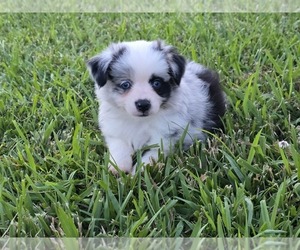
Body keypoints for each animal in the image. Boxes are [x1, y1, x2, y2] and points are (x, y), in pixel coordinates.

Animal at [86, 40, 225, 175]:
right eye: (125, 84)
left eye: (156, 83)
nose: (143, 104)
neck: (140, 121)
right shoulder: (115, 130)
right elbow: (119, 147)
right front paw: (118, 167)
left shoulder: (166, 135)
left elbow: (153, 154)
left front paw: (140, 171)